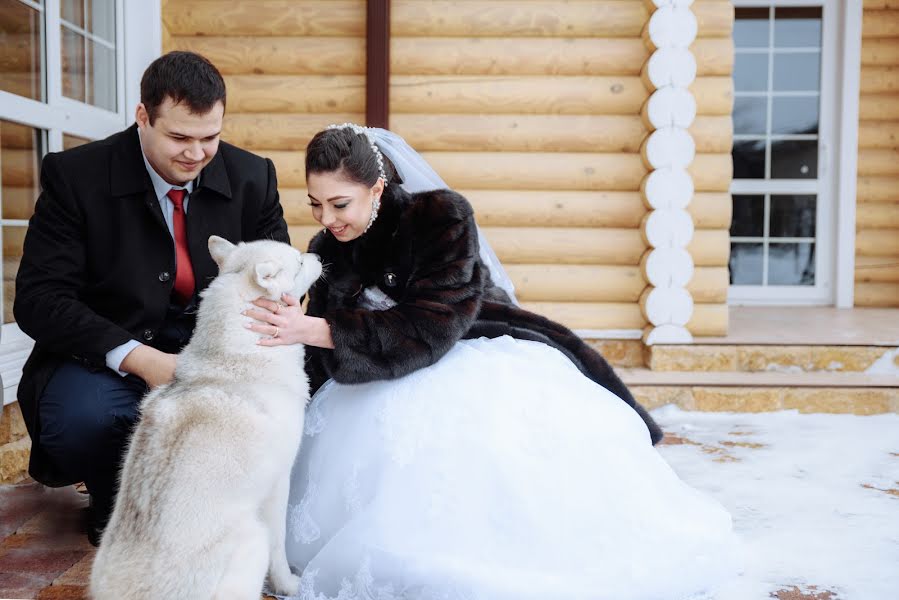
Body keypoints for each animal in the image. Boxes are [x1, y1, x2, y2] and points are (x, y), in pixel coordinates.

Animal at [90, 237, 324, 596]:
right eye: (299, 263)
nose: (318, 254)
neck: (237, 359)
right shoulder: (278, 484)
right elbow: (280, 548)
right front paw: (289, 586)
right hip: (253, 539)